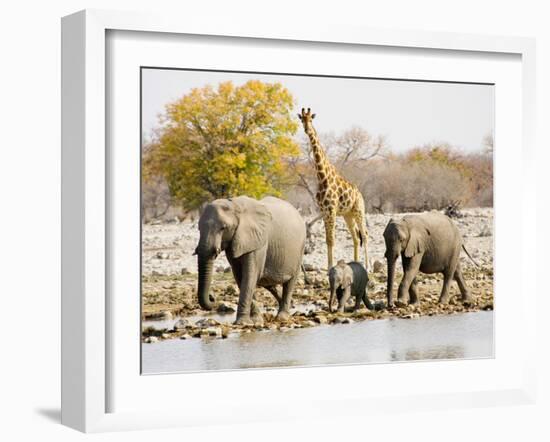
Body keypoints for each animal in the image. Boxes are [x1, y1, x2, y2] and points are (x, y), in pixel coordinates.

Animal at [195, 196, 308, 324]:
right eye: (198, 228)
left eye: (223, 228)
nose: (212, 297)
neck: (234, 205)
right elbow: (240, 276)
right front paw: (255, 320)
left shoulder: (257, 241)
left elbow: (249, 276)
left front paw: (242, 323)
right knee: (267, 282)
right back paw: (290, 305)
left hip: (300, 249)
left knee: (289, 283)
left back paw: (282, 317)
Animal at [298, 109, 370, 272]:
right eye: (302, 120)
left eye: (311, 119)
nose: (307, 130)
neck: (322, 177)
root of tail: (361, 195)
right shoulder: (325, 212)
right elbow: (327, 240)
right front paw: (328, 266)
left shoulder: (331, 211)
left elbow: (332, 240)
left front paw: (330, 267)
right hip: (348, 215)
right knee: (355, 237)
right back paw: (356, 263)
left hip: (359, 211)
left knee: (364, 234)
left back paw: (368, 266)